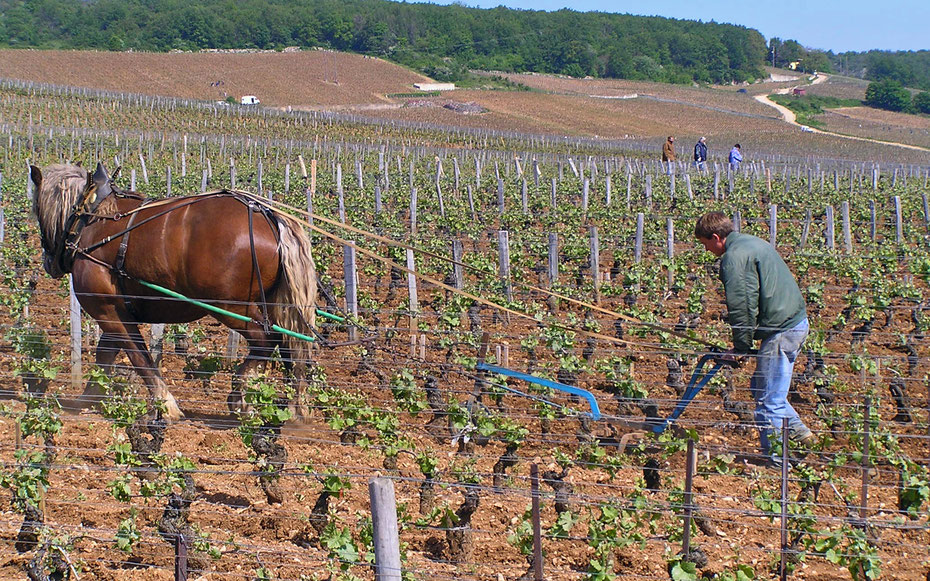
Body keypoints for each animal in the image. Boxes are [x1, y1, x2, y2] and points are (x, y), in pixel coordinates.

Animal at [29, 163, 320, 422]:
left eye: (37, 210)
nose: (48, 262)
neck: (89, 220)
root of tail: (268, 216)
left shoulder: (108, 310)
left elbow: (140, 357)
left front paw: (164, 403)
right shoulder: (116, 310)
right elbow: (105, 355)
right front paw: (88, 399)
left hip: (231, 307)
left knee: (267, 341)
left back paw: (242, 397)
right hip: (276, 305)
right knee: (291, 350)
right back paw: (291, 408)